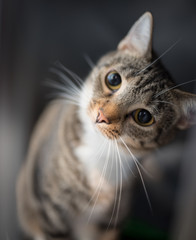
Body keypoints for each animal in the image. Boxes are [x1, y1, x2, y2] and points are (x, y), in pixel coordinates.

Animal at [17, 11, 196, 240]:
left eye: (143, 116)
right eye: (113, 79)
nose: (102, 116)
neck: (98, 151)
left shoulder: (110, 223)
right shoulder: (51, 213)